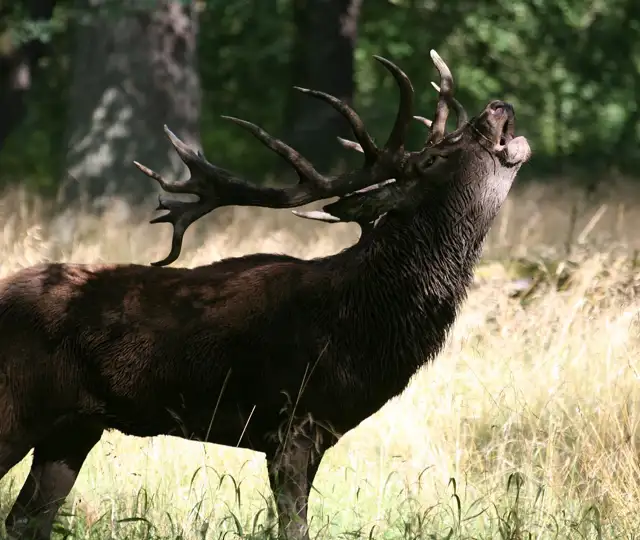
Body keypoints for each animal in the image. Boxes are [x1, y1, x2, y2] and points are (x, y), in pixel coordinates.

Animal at [0, 49, 530, 540]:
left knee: (26, 519)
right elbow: (294, 528)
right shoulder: (291, 425)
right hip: (16, 406)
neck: (359, 328)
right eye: (436, 157)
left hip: (73, 428)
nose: (498, 106)